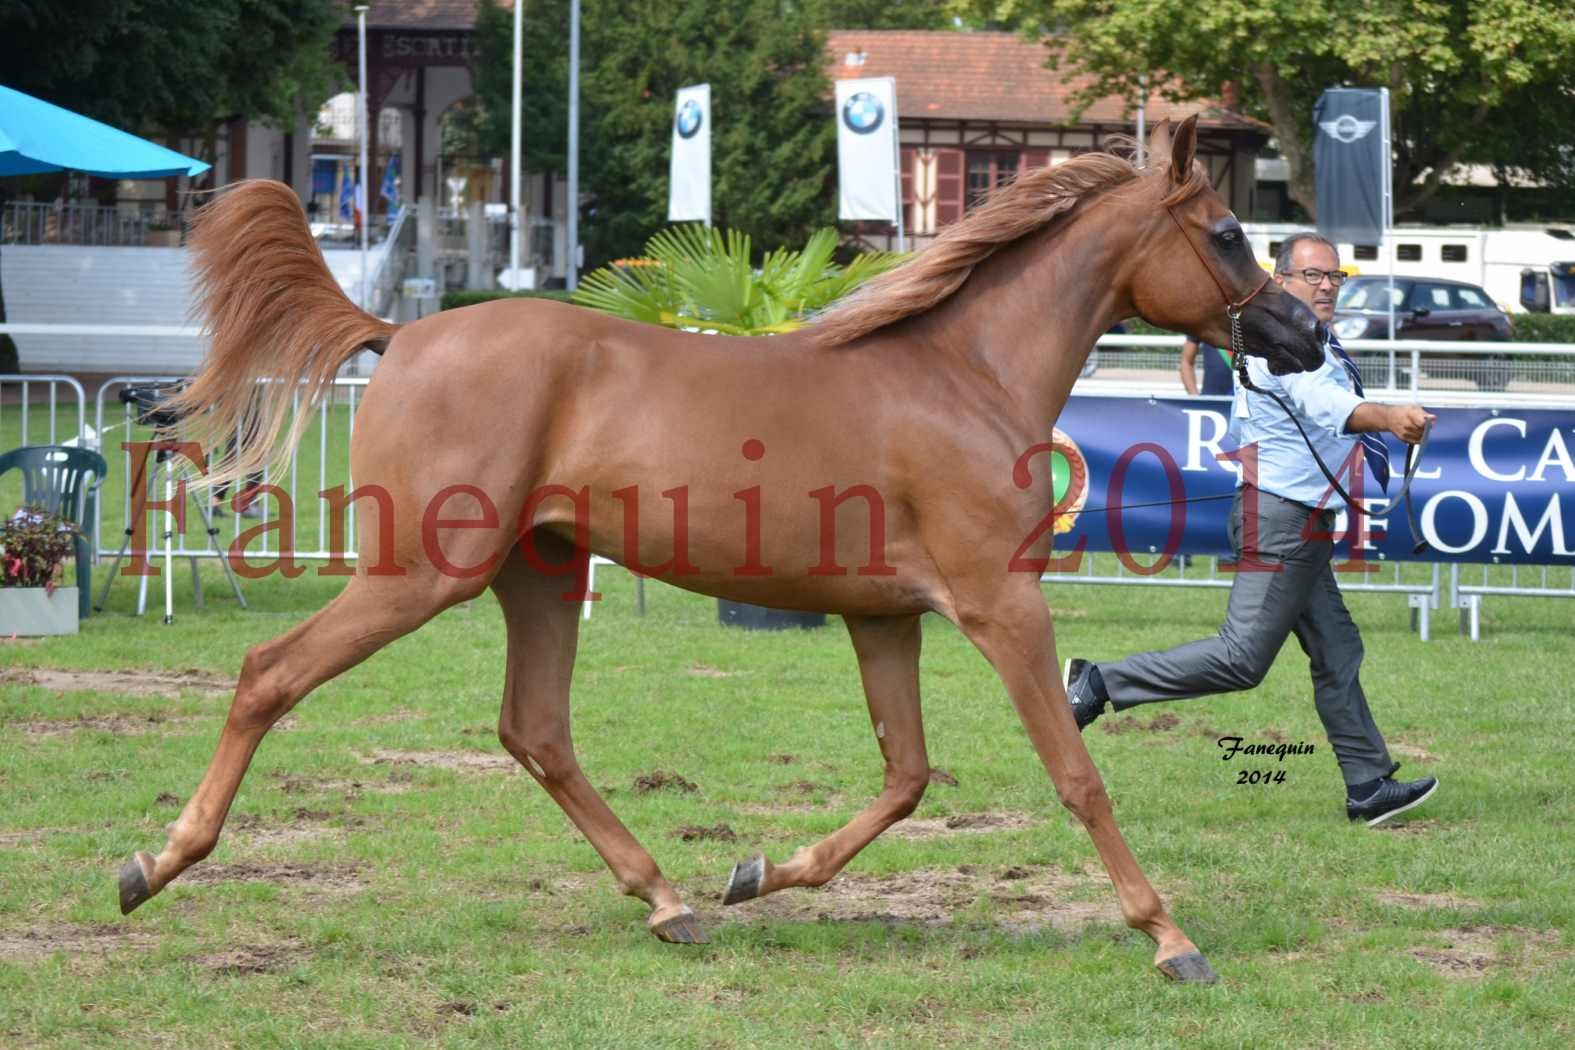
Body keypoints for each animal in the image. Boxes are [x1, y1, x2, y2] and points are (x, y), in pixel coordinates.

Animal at [126, 118, 1316, 982]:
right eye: (1226, 234)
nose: (1304, 334)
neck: (961, 375)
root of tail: (402, 332)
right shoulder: (1000, 605)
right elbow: (1073, 773)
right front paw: (1170, 939)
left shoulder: (884, 618)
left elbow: (906, 777)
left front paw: (757, 872)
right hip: (422, 573)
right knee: (270, 674)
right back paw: (154, 863)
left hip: (540, 572)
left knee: (535, 731)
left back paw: (670, 903)